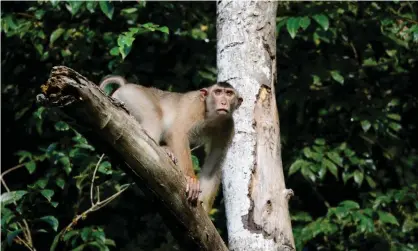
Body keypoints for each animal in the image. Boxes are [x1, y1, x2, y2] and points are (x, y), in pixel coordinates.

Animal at [98, 75, 243, 212]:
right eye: (217, 92)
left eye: (229, 93)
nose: (223, 102)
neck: (212, 117)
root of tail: (125, 85)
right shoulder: (195, 107)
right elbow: (178, 133)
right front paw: (191, 178)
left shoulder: (228, 127)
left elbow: (214, 164)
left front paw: (206, 213)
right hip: (132, 95)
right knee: (154, 118)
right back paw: (165, 150)